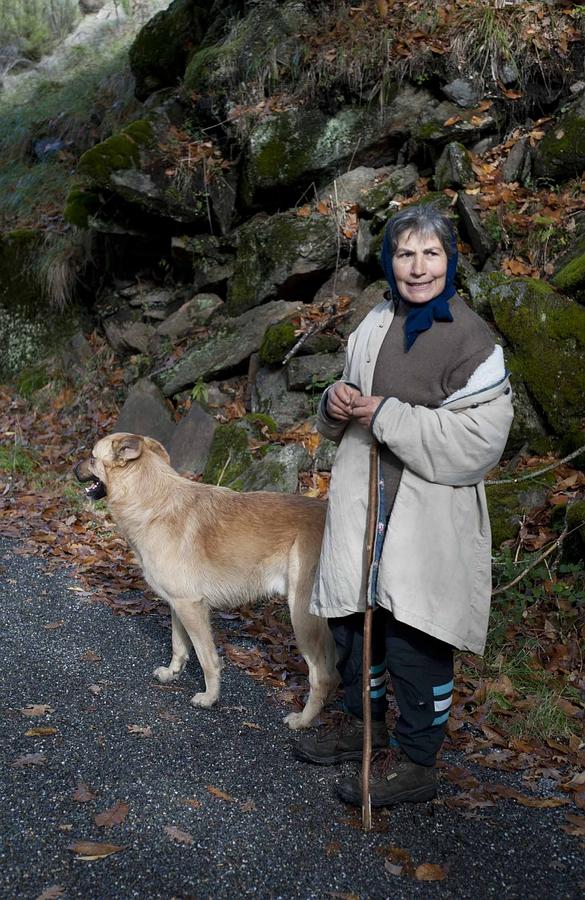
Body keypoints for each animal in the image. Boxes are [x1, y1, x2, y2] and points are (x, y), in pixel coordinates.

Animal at [75, 432, 336, 728]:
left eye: (92, 457)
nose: (73, 469)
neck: (151, 500)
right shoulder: (178, 605)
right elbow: (178, 645)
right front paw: (172, 673)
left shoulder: (192, 607)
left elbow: (207, 658)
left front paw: (210, 698)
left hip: (302, 619)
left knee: (322, 677)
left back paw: (303, 720)